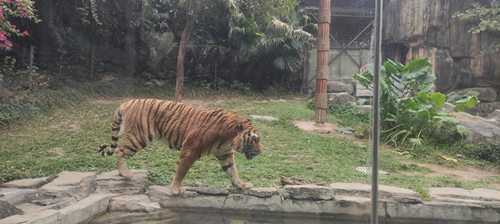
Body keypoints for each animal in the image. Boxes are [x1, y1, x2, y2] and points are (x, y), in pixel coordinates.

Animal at [95, 99, 264, 193]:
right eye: (254, 139)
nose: (261, 151)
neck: (229, 138)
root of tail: (126, 103)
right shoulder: (190, 150)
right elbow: (181, 171)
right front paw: (176, 188)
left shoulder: (225, 154)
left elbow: (232, 172)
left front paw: (242, 185)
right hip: (139, 137)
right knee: (120, 151)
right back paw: (125, 173)